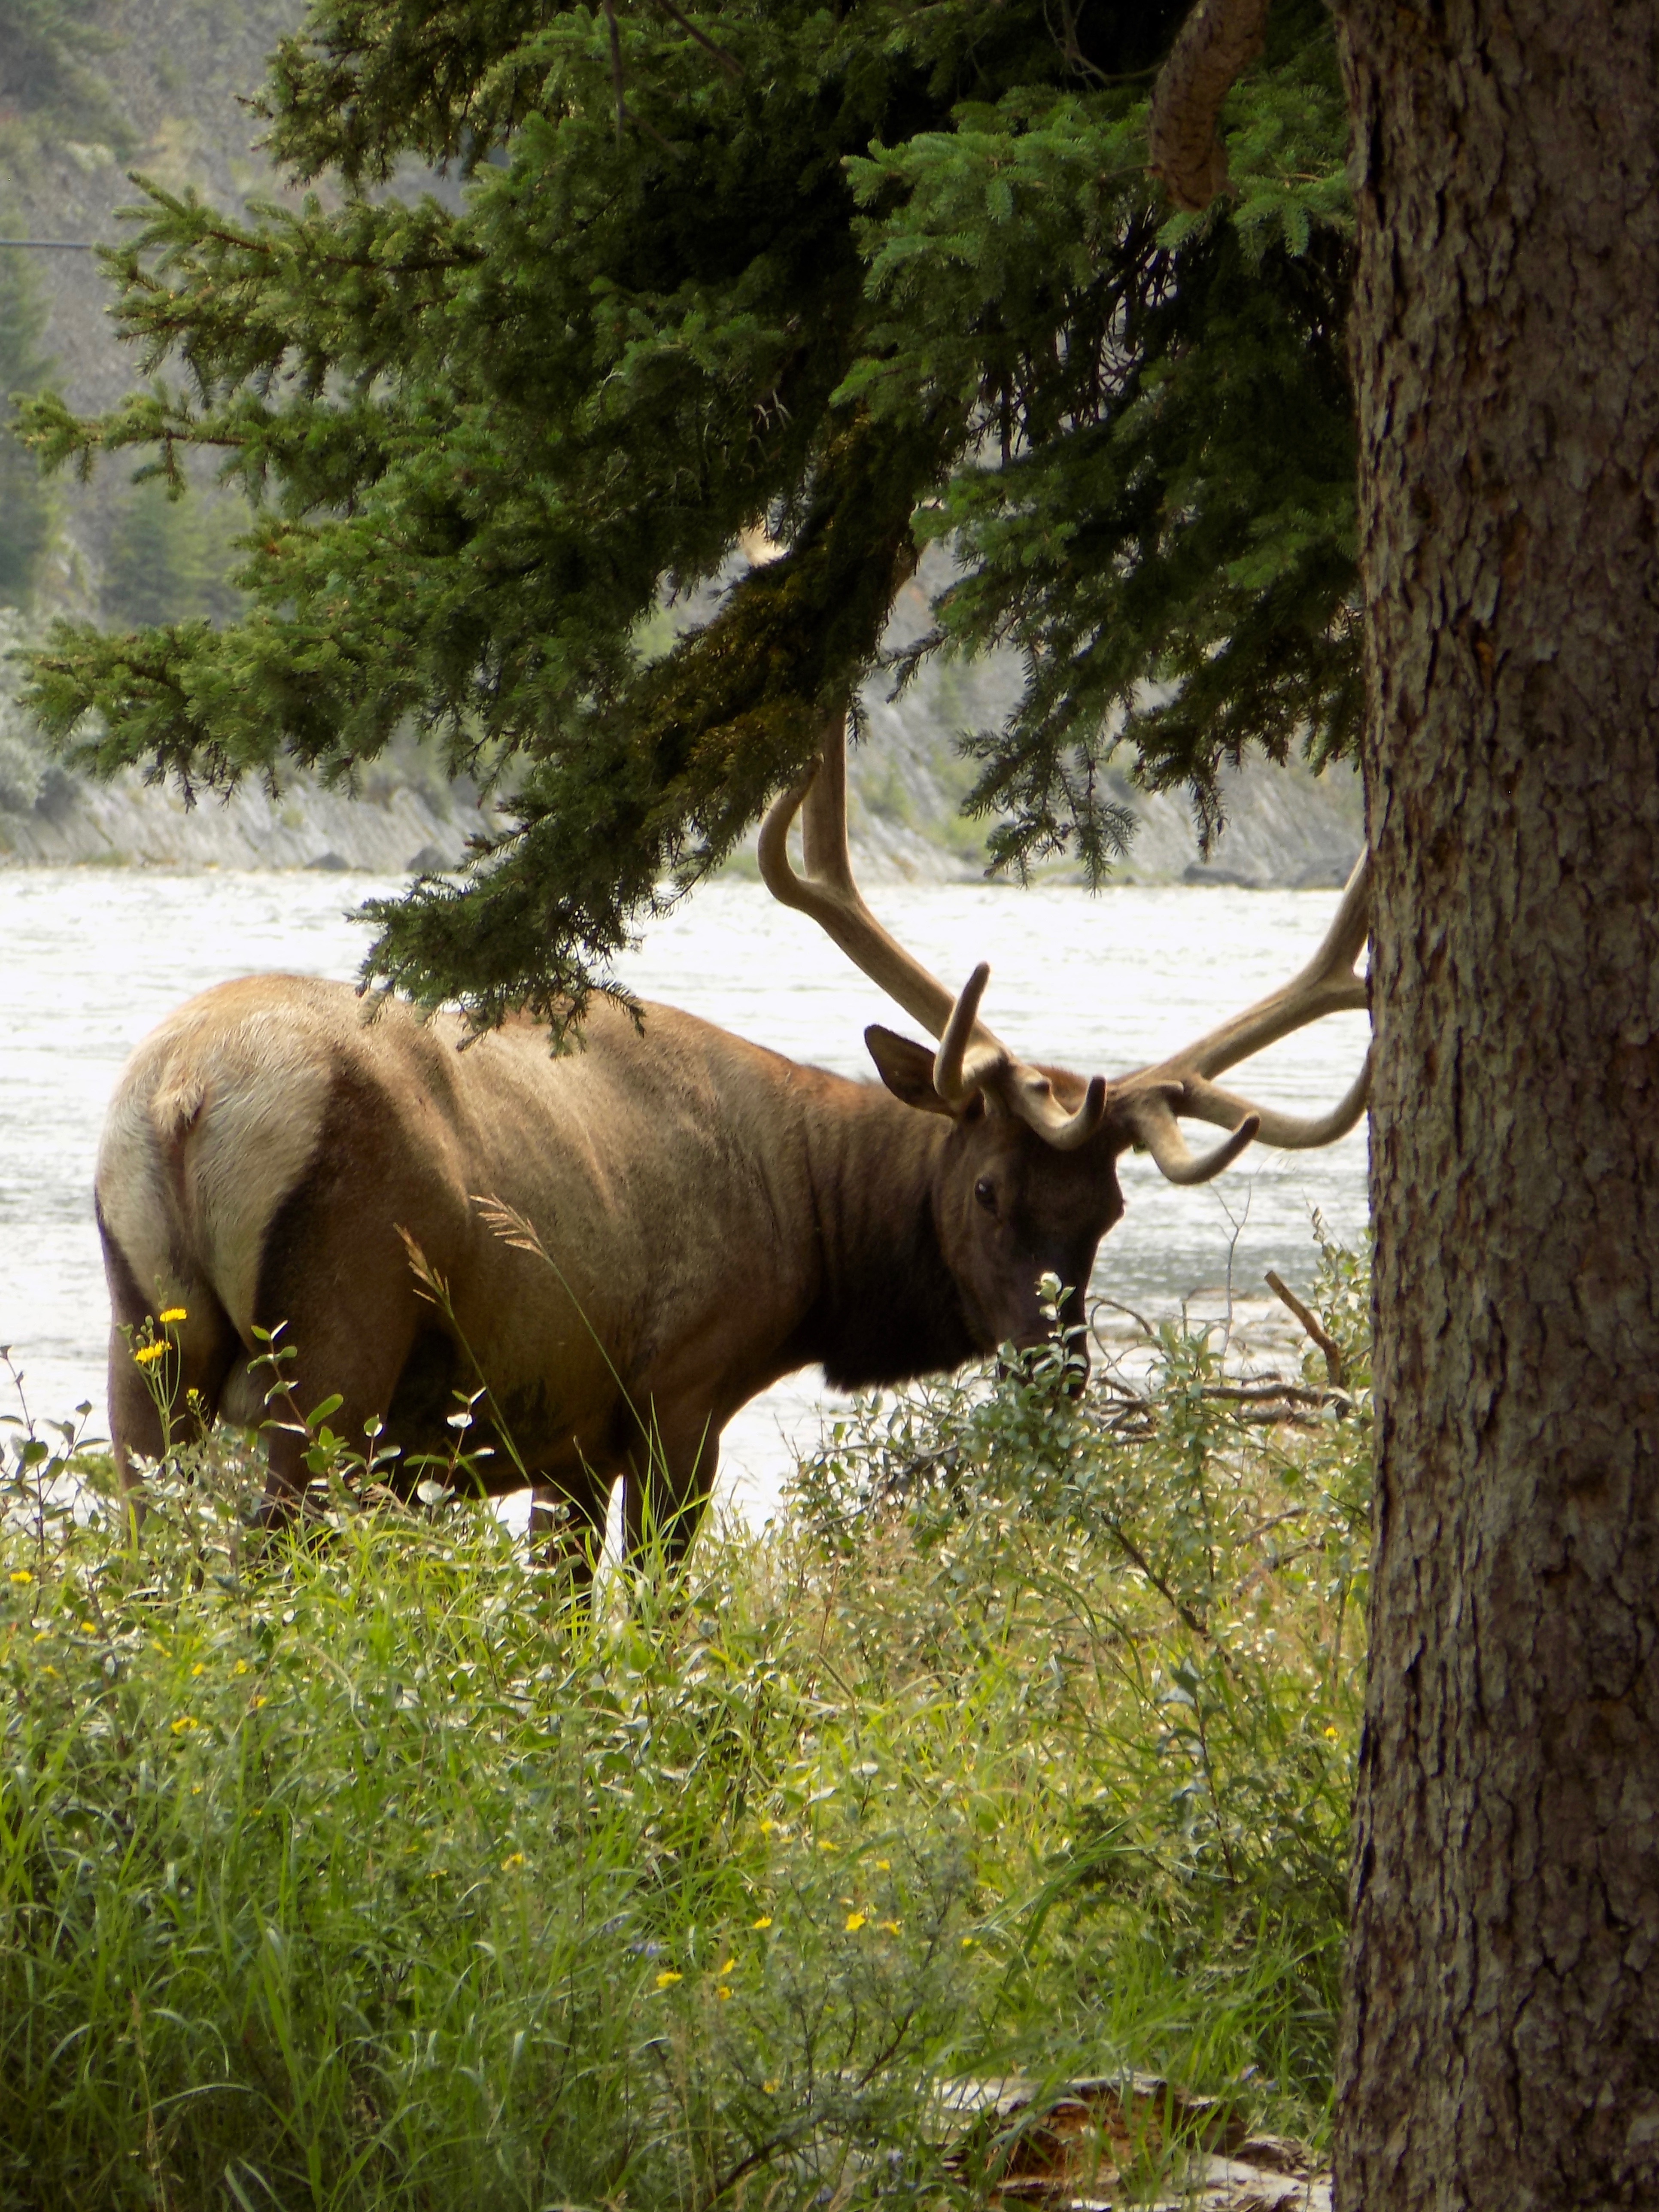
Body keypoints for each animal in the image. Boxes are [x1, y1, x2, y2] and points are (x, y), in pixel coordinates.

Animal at [95, 713, 1370, 1558]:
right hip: (337, 1345)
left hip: (147, 1345)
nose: (1056, 1368)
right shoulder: (680, 1390)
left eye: (1107, 1211)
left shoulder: (566, 1433)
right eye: (986, 1191)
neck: (807, 1232)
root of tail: (182, 1097)